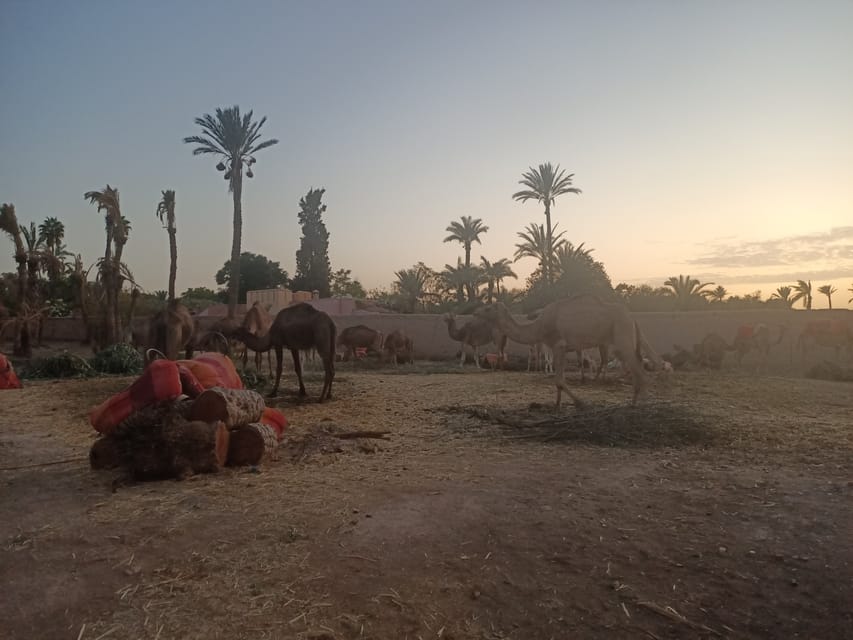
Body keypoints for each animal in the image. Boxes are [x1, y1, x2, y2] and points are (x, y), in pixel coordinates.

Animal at [472, 296, 660, 408]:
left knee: (640, 371)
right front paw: (557, 405)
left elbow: (560, 380)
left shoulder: (559, 345)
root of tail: (632, 318)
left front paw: (580, 402)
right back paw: (633, 403)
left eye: (488, 308)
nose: (475, 312)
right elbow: (558, 382)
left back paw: (642, 406)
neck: (539, 325)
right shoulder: (560, 348)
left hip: (622, 336)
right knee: (637, 367)